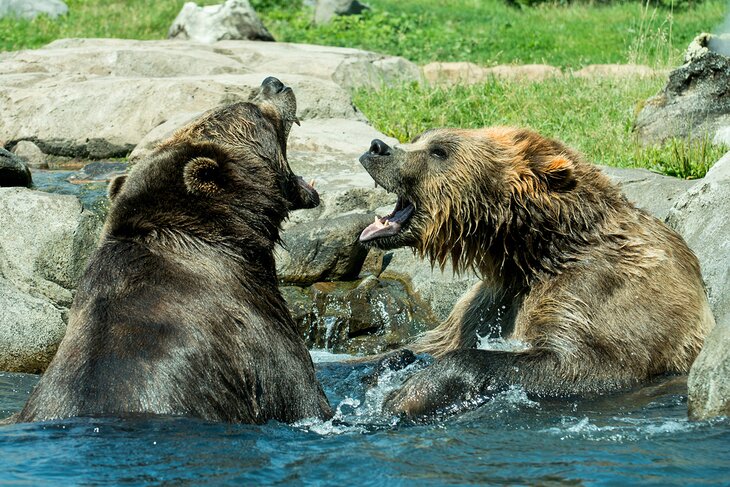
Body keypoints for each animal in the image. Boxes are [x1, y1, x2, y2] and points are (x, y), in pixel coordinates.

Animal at [356, 127, 712, 418]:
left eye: (439, 151)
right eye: (419, 138)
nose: (376, 147)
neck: (531, 250)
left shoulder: (599, 288)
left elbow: (589, 364)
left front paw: (408, 393)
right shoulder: (490, 300)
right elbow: (429, 342)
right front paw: (392, 365)